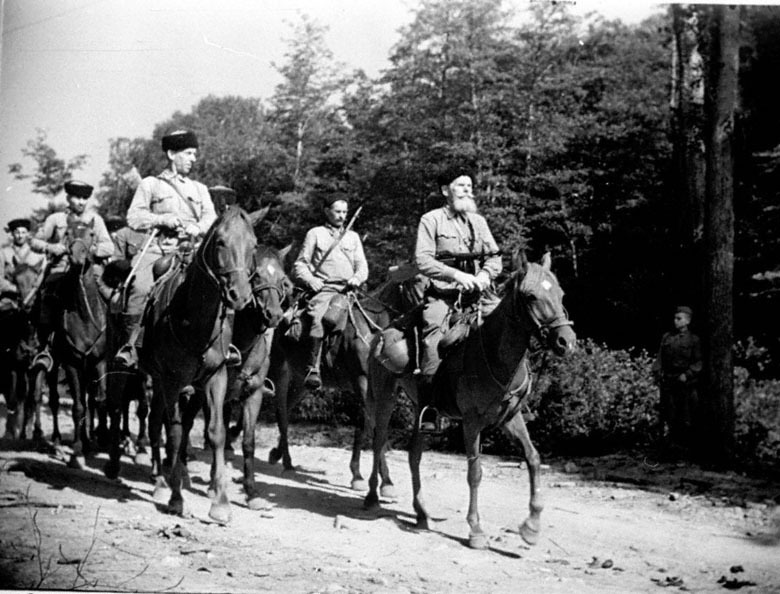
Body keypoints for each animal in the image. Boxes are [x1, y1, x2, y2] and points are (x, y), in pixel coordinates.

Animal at [138, 206, 258, 520]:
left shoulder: (215, 377)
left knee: (157, 421)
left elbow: (216, 432)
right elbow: (175, 432)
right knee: (153, 423)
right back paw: (159, 482)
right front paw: (176, 498)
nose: (239, 296)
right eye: (220, 242)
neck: (194, 320)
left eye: (253, 245)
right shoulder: (171, 380)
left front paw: (221, 504)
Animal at [362, 252, 576, 548]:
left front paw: (531, 526)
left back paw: (421, 513)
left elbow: (533, 458)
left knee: (414, 455)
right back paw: (373, 496)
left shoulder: (510, 418)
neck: (495, 356)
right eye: (531, 296)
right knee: (378, 440)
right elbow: (475, 472)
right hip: (385, 397)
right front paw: (476, 530)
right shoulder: (472, 422)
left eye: (561, 293)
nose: (567, 341)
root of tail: (381, 333)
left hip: (421, 410)